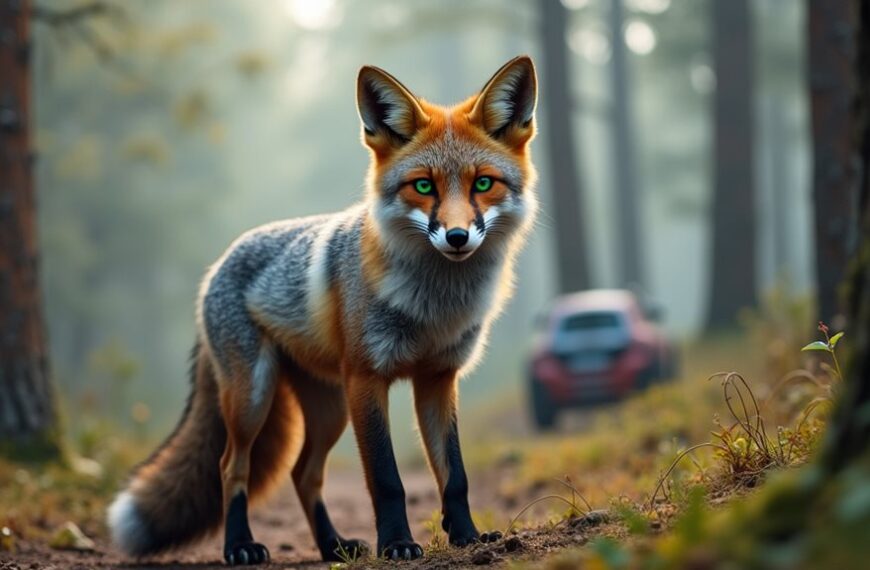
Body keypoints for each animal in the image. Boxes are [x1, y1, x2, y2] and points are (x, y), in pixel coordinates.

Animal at [107, 55, 539, 565]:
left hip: (329, 409)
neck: (433, 307)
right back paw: (240, 545)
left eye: (484, 183)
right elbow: (387, 480)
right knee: (231, 466)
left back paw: (332, 545)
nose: (456, 237)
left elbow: (454, 475)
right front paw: (396, 543)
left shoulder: (437, 378)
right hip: (255, 398)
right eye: (423, 186)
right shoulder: (367, 379)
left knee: (303, 473)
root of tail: (217, 266)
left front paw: (466, 536)